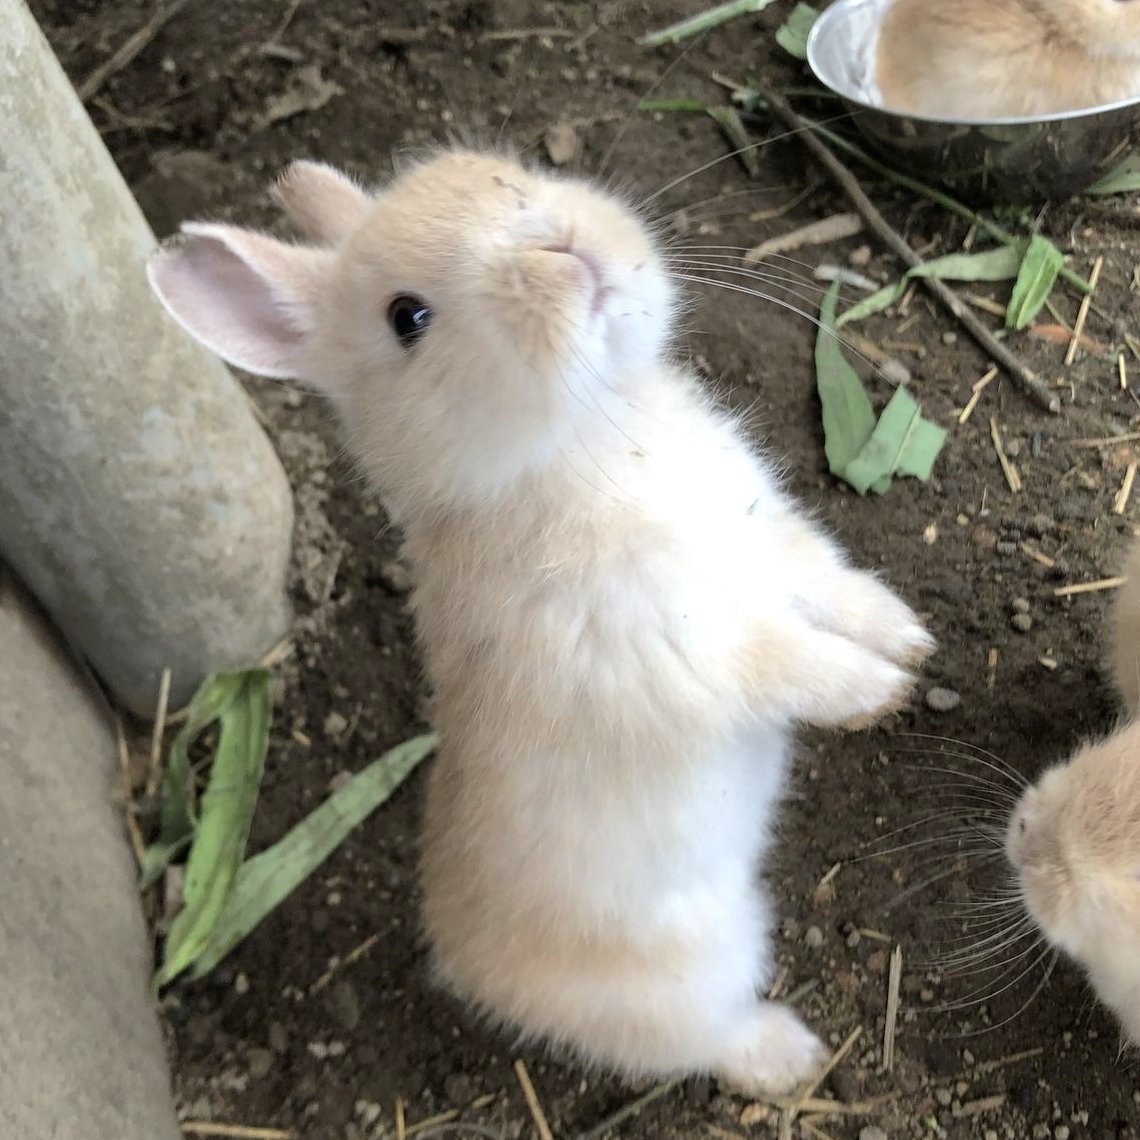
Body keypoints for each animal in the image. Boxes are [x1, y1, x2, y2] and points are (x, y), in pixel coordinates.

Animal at [146, 148, 935, 1095]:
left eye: (505, 177)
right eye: (407, 318)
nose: (561, 247)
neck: (592, 435)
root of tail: (463, 969)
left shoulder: (769, 541)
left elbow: (829, 587)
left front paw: (911, 638)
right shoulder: (673, 647)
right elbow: (787, 663)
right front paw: (881, 694)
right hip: (693, 973)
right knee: (700, 1038)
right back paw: (794, 1060)